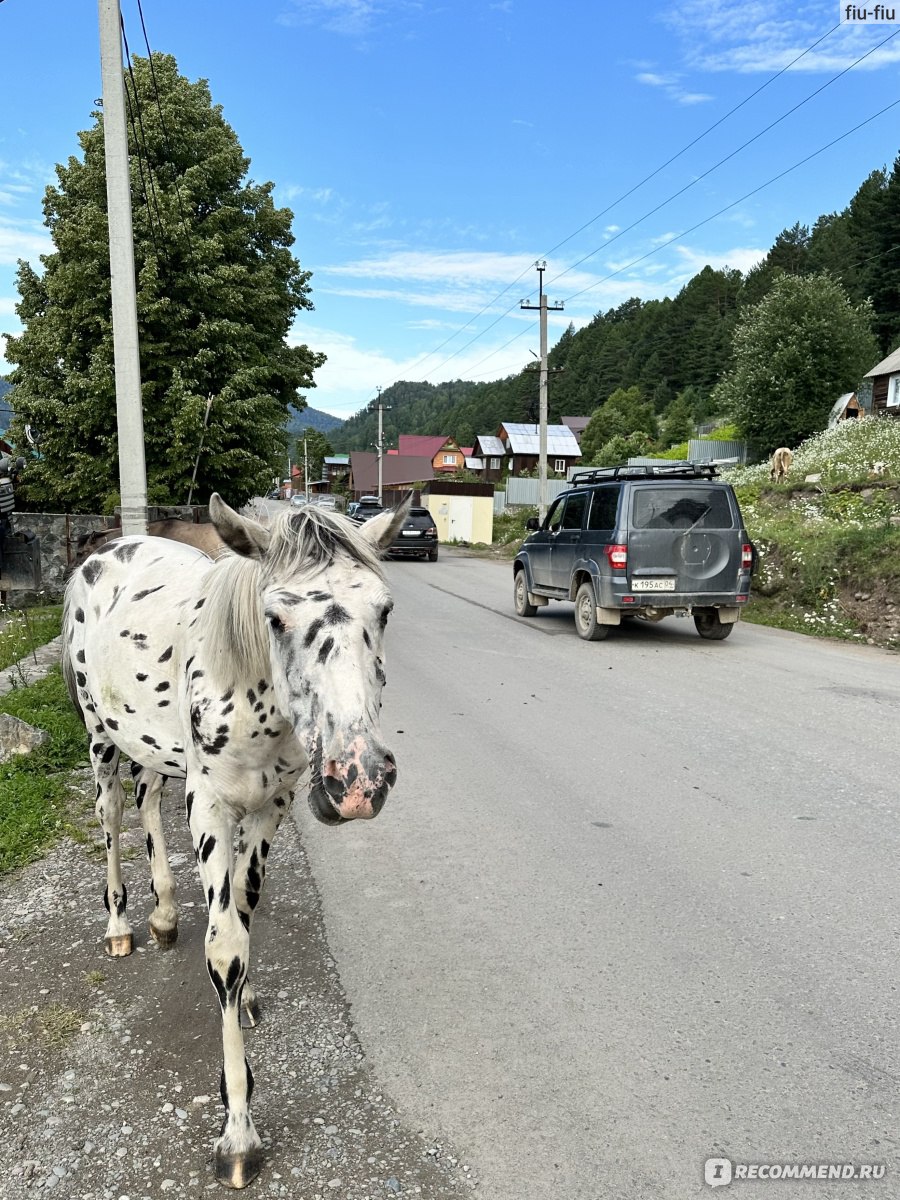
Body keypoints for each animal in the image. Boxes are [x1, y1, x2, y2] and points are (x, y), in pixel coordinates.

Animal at [61, 492, 415, 1185]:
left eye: (383, 610)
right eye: (274, 617)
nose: (359, 779)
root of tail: (101, 550)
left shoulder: (271, 807)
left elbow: (246, 909)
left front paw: (245, 995)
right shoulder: (211, 808)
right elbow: (225, 946)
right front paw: (238, 1132)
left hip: (153, 748)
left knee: (146, 801)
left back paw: (165, 915)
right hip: (100, 737)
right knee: (111, 814)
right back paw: (120, 926)